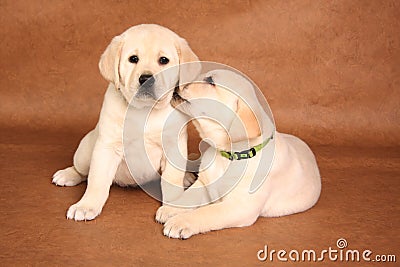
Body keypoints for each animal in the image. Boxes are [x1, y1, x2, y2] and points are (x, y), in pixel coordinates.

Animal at [52, 24, 200, 222]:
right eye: (133, 59)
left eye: (163, 60)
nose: (146, 79)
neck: (145, 110)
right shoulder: (107, 147)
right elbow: (97, 181)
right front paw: (86, 205)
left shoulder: (172, 147)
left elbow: (172, 180)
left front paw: (171, 208)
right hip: (85, 151)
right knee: (82, 170)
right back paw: (67, 174)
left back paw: (186, 177)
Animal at [156, 70, 322, 240]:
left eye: (210, 81)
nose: (176, 81)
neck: (227, 156)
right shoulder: (204, 183)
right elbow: (188, 197)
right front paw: (170, 209)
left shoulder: (240, 206)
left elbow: (207, 212)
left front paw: (180, 222)